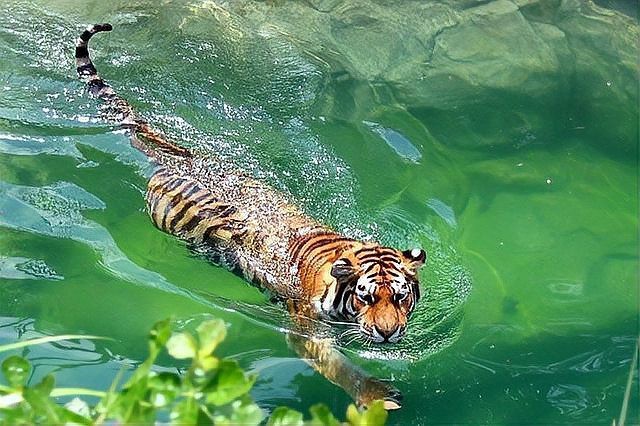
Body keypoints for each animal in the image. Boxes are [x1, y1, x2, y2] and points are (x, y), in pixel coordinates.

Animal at [76, 23, 427, 409]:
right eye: (366, 297)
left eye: (400, 297)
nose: (388, 333)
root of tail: (184, 157)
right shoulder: (307, 333)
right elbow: (338, 366)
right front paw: (376, 396)